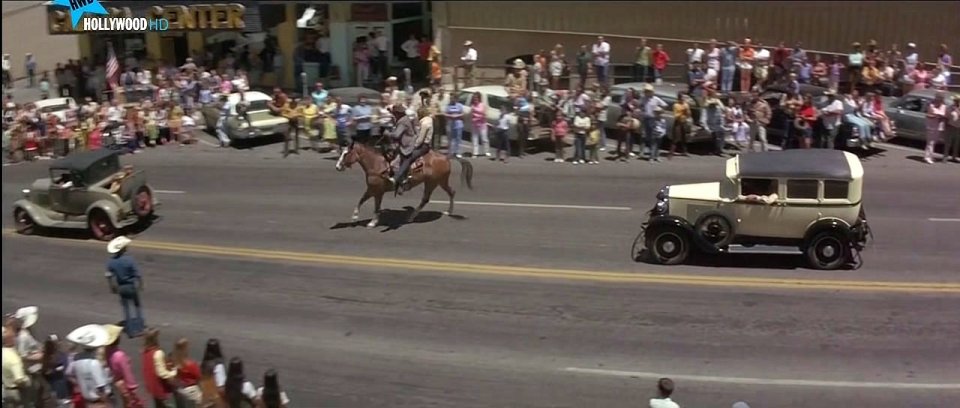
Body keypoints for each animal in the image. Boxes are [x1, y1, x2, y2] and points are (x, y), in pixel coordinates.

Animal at [336, 142, 474, 228]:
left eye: (346, 153)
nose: (337, 167)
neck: (377, 164)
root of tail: (445, 157)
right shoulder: (372, 189)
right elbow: (361, 200)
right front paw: (354, 217)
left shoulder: (378, 191)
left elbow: (376, 207)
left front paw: (372, 223)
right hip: (440, 181)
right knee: (451, 192)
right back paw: (448, 211)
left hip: (433, 182)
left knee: (427, 199)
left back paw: (411, 217)